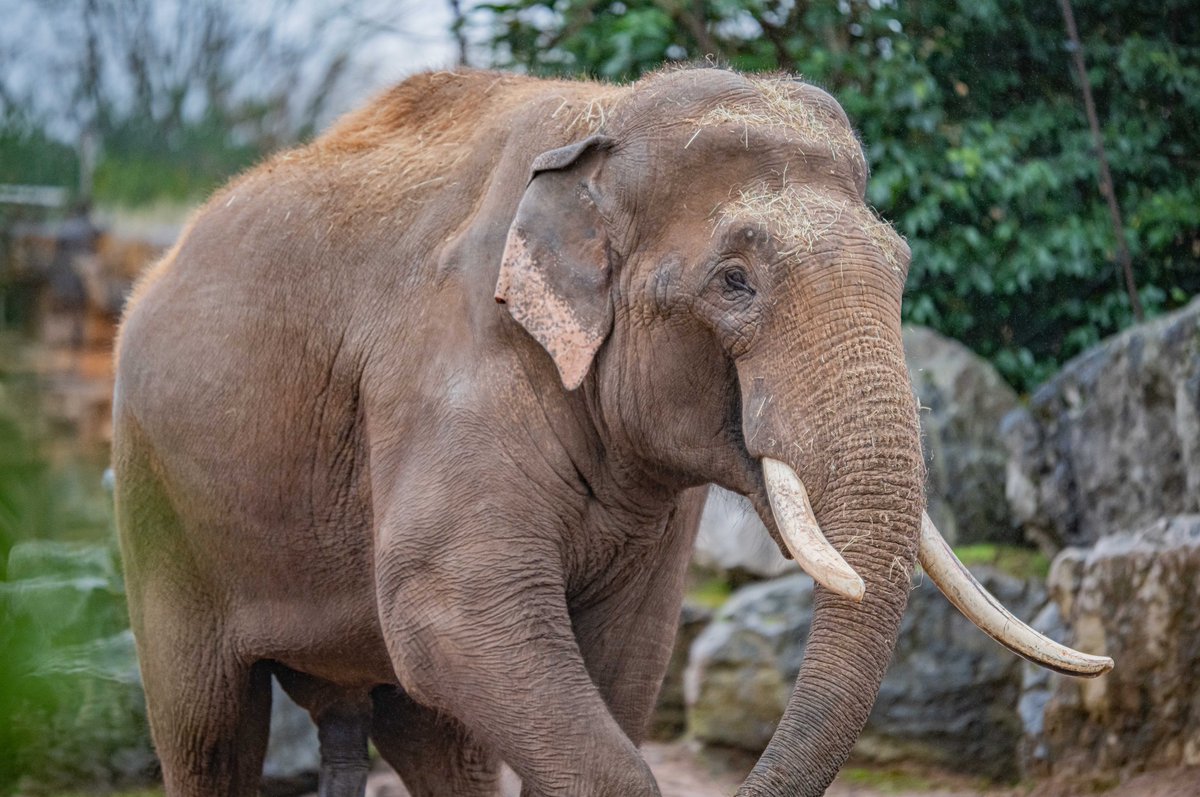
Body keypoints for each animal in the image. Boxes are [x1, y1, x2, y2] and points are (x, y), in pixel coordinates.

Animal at [112, 66, 1111, 797]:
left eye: (900, 266)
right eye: (735, 283)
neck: (600, 117)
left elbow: (626, 655)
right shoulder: (449, 369)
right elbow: (455, 611)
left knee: (422, 730)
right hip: (157, 504)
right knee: (208, 729)